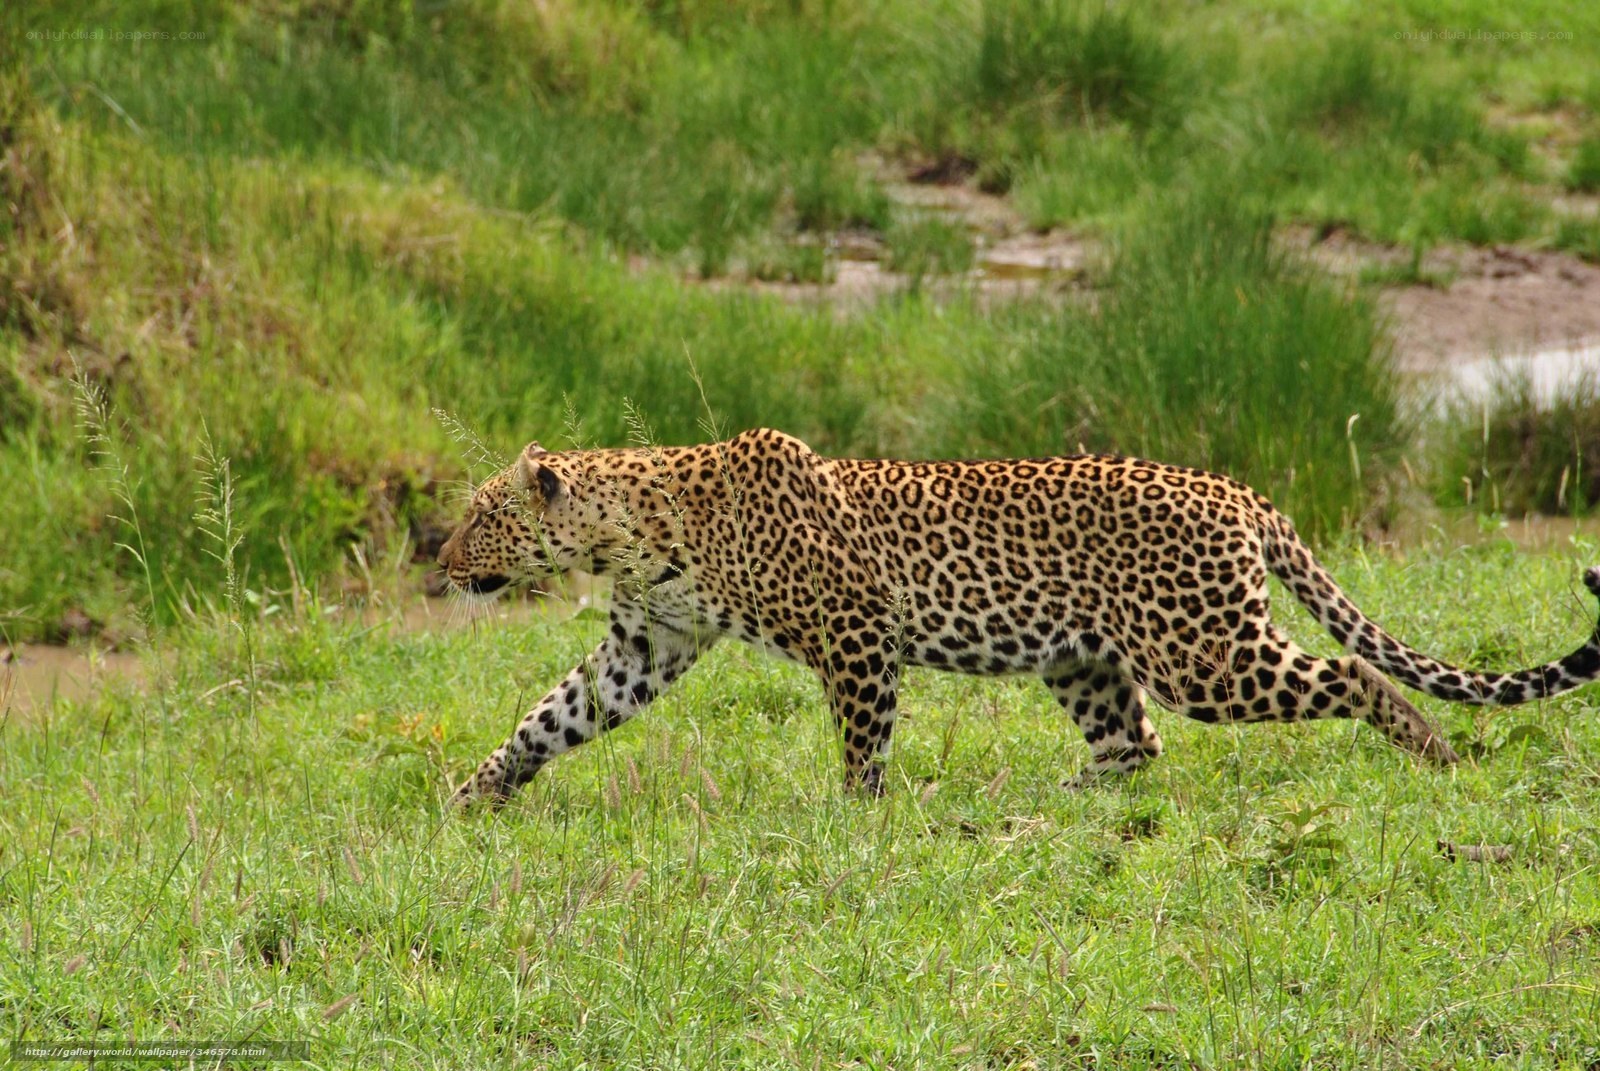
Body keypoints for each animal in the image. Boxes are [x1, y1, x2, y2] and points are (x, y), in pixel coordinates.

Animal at [439, 428, 1600, 806]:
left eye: (482, 517)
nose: (439, 562)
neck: (630, 530)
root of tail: (1237, 490)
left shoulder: (857, 634)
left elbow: (860, 742)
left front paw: (858, 817)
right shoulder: (648, 643)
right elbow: (554, 715)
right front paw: (474, 795)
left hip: (1202, 651)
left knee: (1350, 675)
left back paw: (1437, 756)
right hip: (1084, 658)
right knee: (1133, 745)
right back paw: (1058, 796)